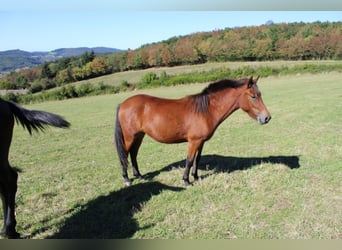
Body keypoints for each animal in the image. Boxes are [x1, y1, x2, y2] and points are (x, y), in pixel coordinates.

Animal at [115, 76, 270, 188]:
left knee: (133, 154)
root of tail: (123, 104)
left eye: (260, 94)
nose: (267, 117)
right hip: (129, 137)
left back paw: (139, 176)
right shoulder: (193, 141)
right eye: (253, 96)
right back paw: (127, 179)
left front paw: (196, 176)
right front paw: (186, 181)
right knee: (125, 155)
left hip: (139, 136)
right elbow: (189, 160)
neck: (206, 110)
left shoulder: (201, 141)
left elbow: (197, 159)